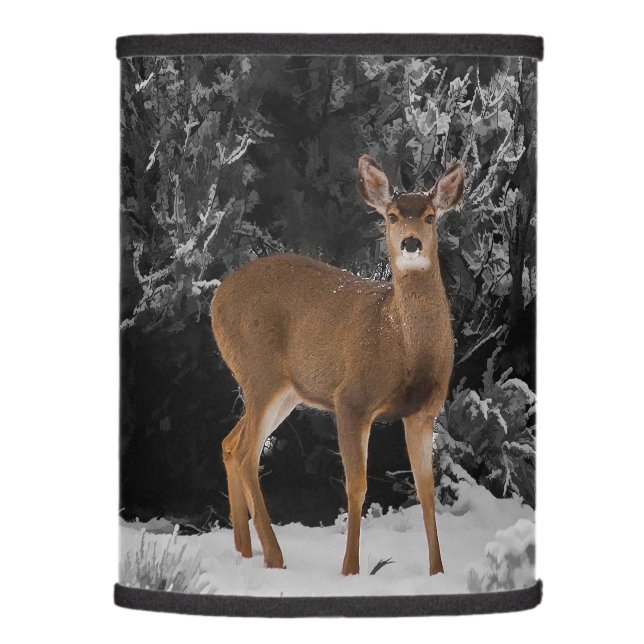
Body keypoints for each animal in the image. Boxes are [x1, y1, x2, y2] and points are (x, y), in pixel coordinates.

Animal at [211, 155, 465, 576]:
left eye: (430, 217)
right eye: (392, 216)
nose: (411, 243)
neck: (402, 345)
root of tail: (215, 299)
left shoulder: (424, 411)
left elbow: (426, 491)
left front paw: (438, 572)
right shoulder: (351, 399)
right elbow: (356, 485)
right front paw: (350, 570)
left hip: (285, 390)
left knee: (231, 444)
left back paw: (245, 551)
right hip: (259, 372)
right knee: (247, 453)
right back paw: (274, 556)